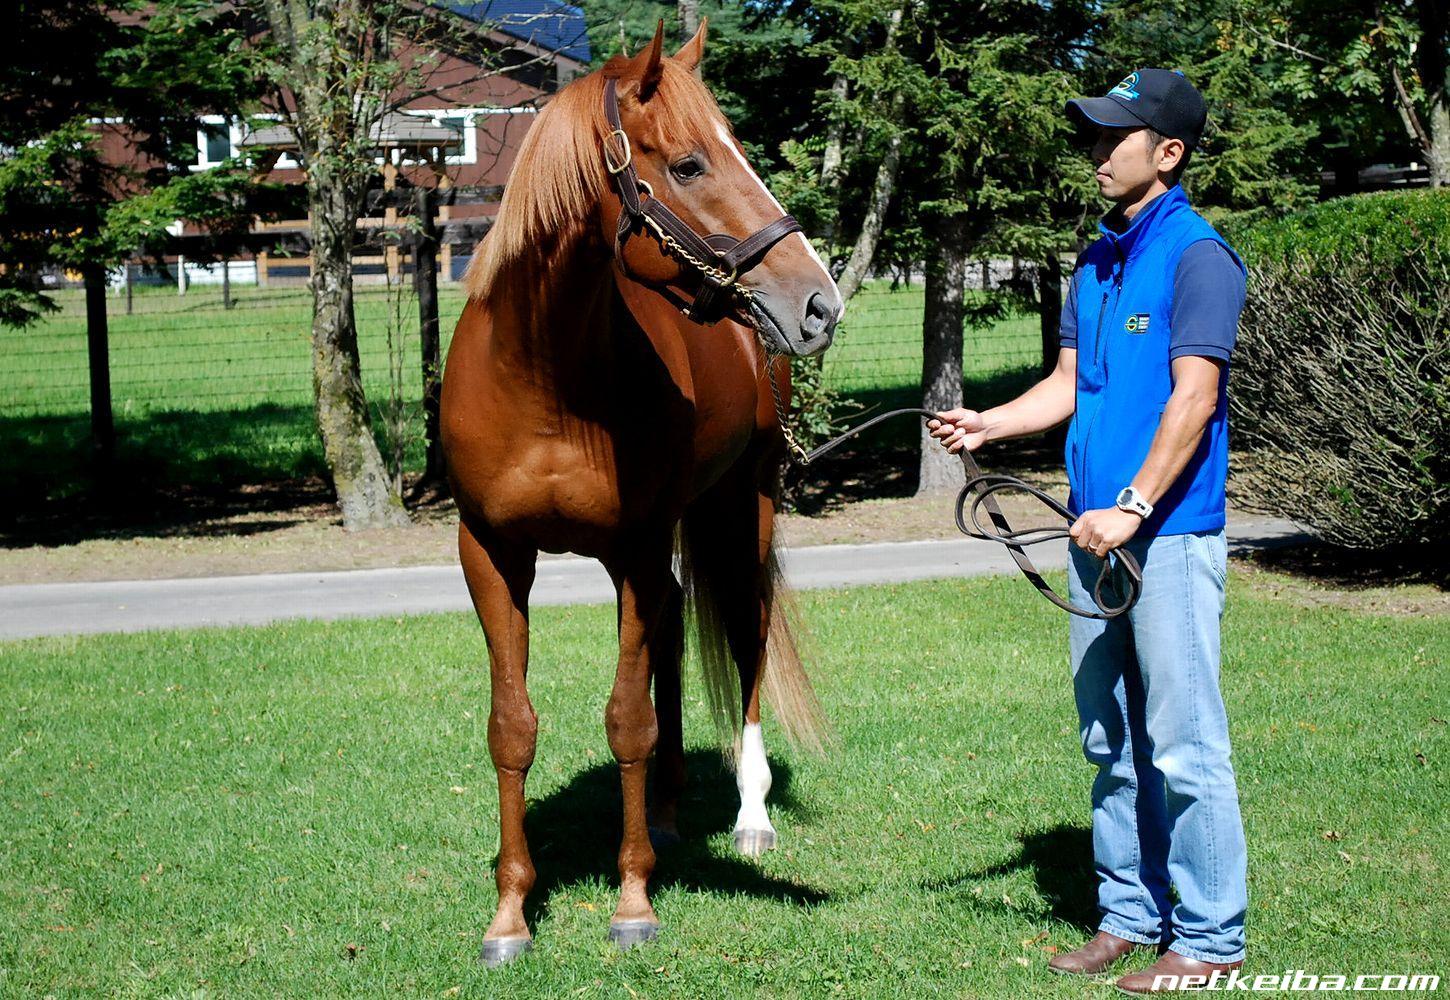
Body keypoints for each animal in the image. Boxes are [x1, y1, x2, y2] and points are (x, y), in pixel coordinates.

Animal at [440, 21, 846, 956]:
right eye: (691, 164)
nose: (820, 303)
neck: (545, 378)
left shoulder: (630, 549)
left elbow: (626, 718)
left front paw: (632, 903)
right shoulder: (491, 554)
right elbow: (512, 726)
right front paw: (510, 915)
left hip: (741, 511)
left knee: (745, 637)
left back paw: (749, 816)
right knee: (669, 638)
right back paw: (661, 809)